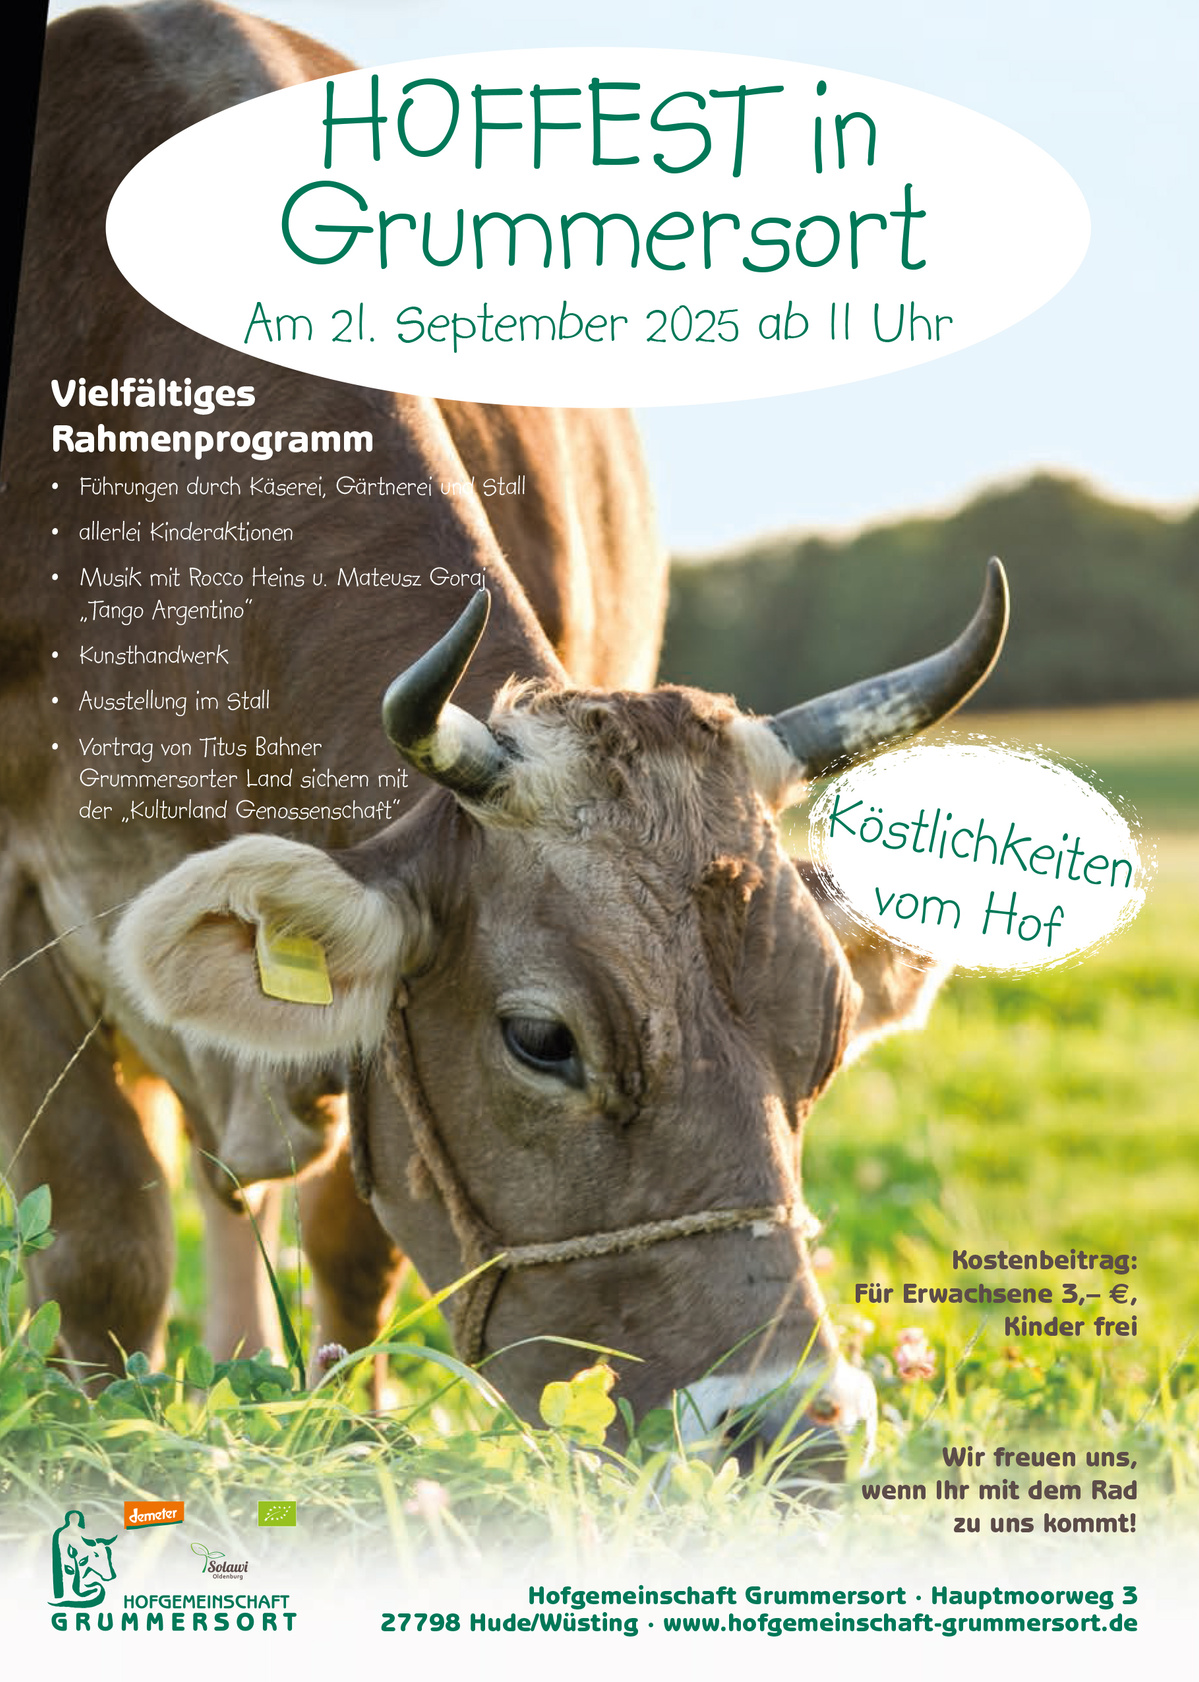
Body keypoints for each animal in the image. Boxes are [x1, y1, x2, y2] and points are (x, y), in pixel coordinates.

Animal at [1, 0, 1008, 1472]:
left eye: (825, 1034)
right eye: (541, 1039)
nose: (791, 1433)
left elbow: (348, 1243)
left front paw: (338, 1428)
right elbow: (101, 1241)